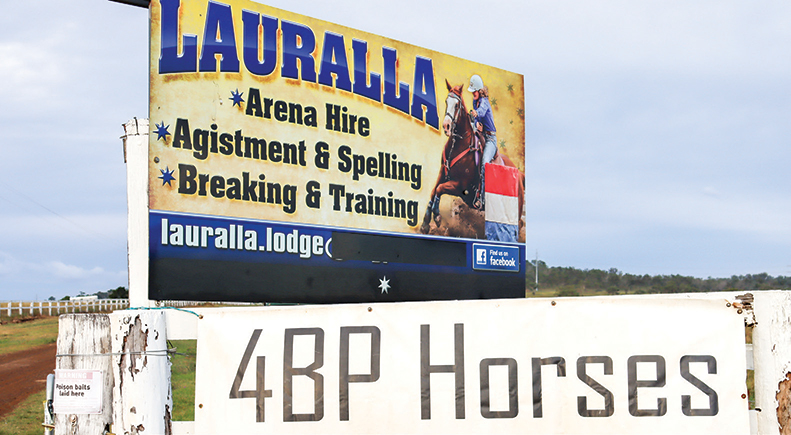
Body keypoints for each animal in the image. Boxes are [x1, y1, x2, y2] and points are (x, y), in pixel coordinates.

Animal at [419, 79, 525, 238]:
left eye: (457, 105)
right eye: (446, 101)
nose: (446, 126)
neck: (459, 144)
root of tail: (519, 174)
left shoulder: (459, 185)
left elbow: (439, 189)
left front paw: (437, 216)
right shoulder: (443, 172)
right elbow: (433, 190)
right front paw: (425, 223)